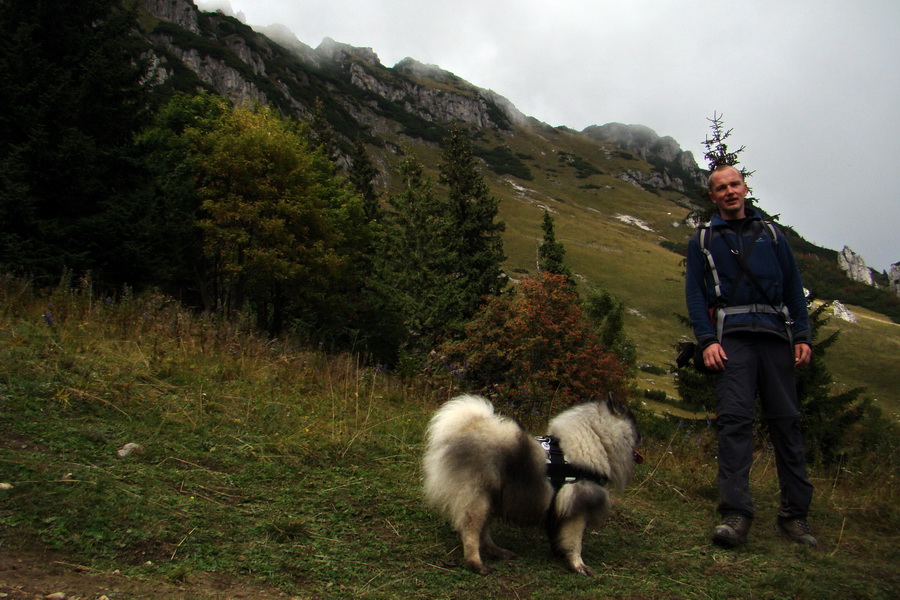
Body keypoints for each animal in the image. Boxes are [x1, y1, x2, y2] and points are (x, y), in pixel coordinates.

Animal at [422, 394, 640, 576]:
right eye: (633, 422)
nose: (641, 436)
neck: (596, 440)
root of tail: (463, 429)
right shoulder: (578, 506)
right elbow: (575, 541)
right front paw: (578, 565)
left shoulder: (560, 508)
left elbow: (561, 535)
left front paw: (561, 553)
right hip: (477, 498)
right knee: (471, 532)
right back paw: (476, 564)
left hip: (490, 497)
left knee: (483, 532)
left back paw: (497, 551)